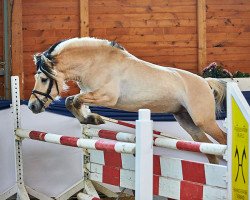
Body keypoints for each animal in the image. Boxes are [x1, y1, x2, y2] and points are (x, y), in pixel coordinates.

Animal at [28, 36, 228, 163]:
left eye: (43, 79)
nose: (32, 106)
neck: (94, 64)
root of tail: (205, 81)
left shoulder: (107, 97)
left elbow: (75, 100)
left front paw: (93, 118)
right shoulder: (91, 94)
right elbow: (72, 101)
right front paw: (89, 118)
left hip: (204, 121)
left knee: (223, 141)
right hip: (188, 122)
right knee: (209, 149)